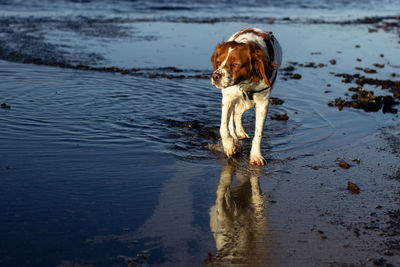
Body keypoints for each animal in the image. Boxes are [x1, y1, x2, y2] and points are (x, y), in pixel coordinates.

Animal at [211, 27, 282, 165]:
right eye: (218, 62)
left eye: (235, 64)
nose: (215, 76)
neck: (245, 82)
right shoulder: (228, 97)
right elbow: (224, 126)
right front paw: (229, 146)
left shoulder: (262, 103)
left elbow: (258, 133)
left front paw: (256, 155)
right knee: (233, 116)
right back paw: (236, 141)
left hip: (249, 102)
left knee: (238, 112)